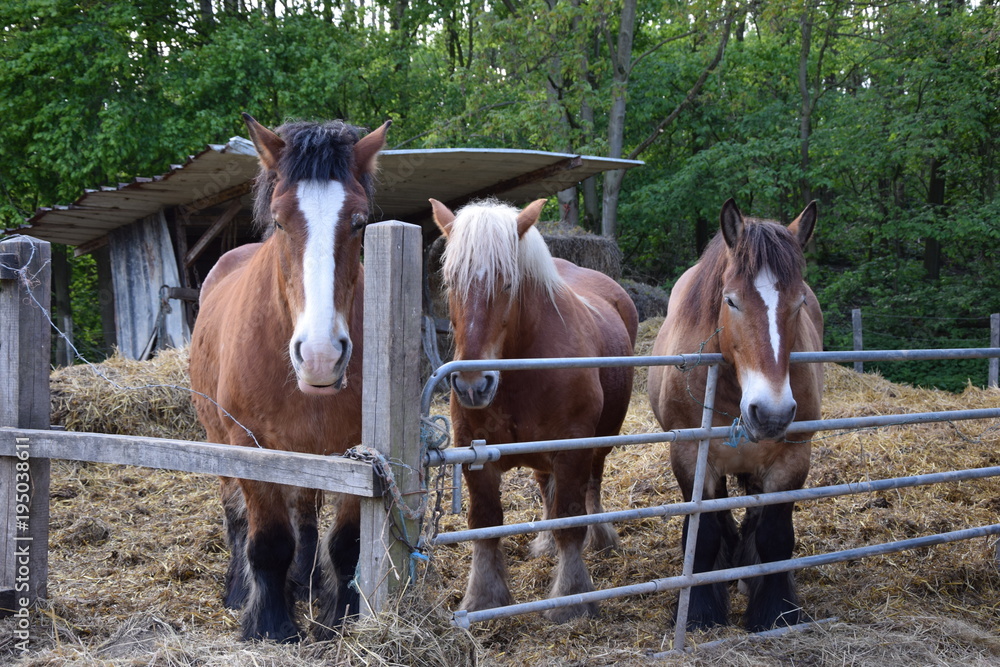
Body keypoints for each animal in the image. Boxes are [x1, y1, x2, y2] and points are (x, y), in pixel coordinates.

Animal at [189, 113, 390, 642]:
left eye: (359, 222)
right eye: (279, 221)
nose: (321, 357)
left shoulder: (352, 452)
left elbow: (346, 544)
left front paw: (340, 617)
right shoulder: (251, 446)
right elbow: (268, 541)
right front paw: (271, 625)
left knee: (305, 516)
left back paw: (305, 583)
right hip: (222, 443)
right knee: (237, 519)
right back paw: (241, 589)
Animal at [429, 197, 638, 622]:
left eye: (508, 283)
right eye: (452, 282)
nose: (472, 385)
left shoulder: (572, 450)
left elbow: (571, 522)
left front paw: (572, 597)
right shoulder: (475, 455)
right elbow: (485, 523)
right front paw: (483, 596)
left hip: (599, 444)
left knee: (591, 487)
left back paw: (600, 537)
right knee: (546, 492)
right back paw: (543, 543)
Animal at [647, 198, 824, 632]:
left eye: (799, 303)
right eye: (731, 300)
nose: (771, 412)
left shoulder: (793, 458)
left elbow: (776, 536)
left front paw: (775, 610)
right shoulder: (691, 457)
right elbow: (703, 533)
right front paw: (699, 611)